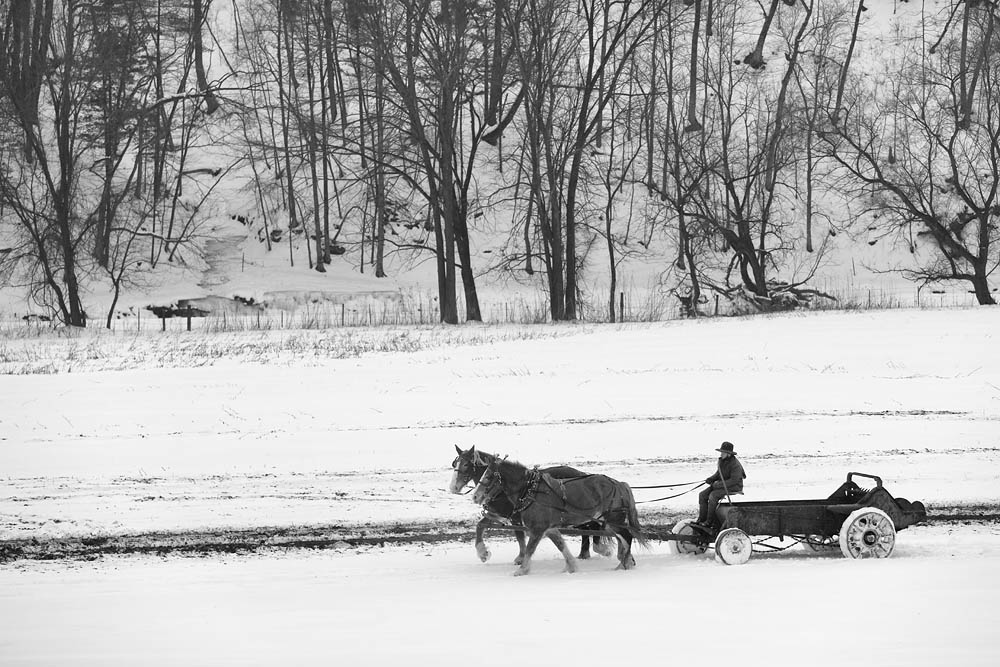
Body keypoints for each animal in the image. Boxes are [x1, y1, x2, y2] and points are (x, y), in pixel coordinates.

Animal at [452, 446, 608, 568]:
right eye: (455, 464)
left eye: (466, 464)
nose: (453, 487)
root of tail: (583, 474)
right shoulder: (498, 514)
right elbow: (480, 526)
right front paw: (483, 553)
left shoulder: (515, 517)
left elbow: (520, 537)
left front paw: (521, 558)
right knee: (586, 528)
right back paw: (584, 553)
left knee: (590, 527)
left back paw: (592, 551)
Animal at [470, 456, 644, 576]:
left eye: (488, 477)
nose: (475, 497)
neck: (530, 491)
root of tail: (619, 484)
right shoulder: (549, 528)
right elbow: (561, 545)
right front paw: (571, 566)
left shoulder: (538, 528)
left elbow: (529, 549)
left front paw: (522, 570)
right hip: (611, 521)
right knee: (622, 539)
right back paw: (624, 561)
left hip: (613, 520)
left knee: (627, 537)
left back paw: (623, 564)